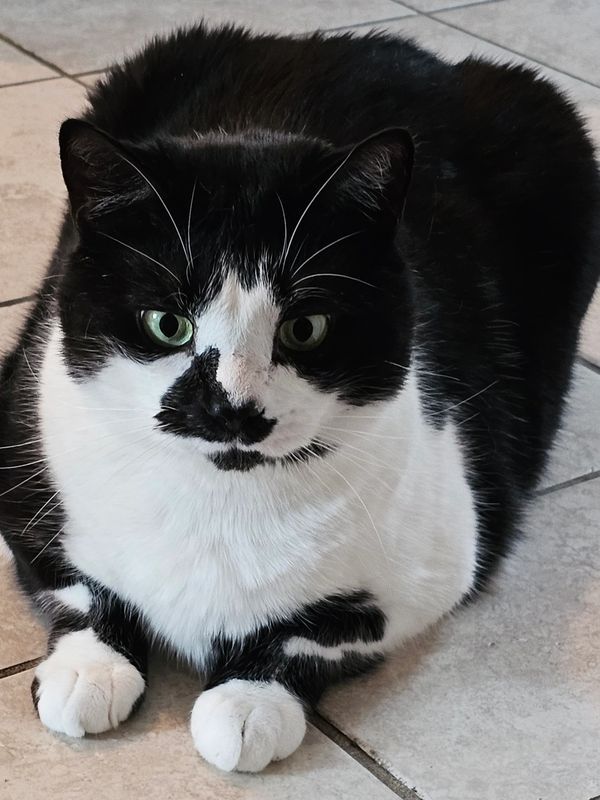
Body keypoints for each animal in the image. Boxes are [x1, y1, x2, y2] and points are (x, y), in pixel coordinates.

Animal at [1, 22, 598, 773]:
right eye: (168, 324)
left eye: (304, 327)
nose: (234, 409)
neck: (219, 504)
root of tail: (349, 42)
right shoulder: (20, 458)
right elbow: (72, 581)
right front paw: (88, 668)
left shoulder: (448, 553)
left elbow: (321, 629)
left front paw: (249, 700)